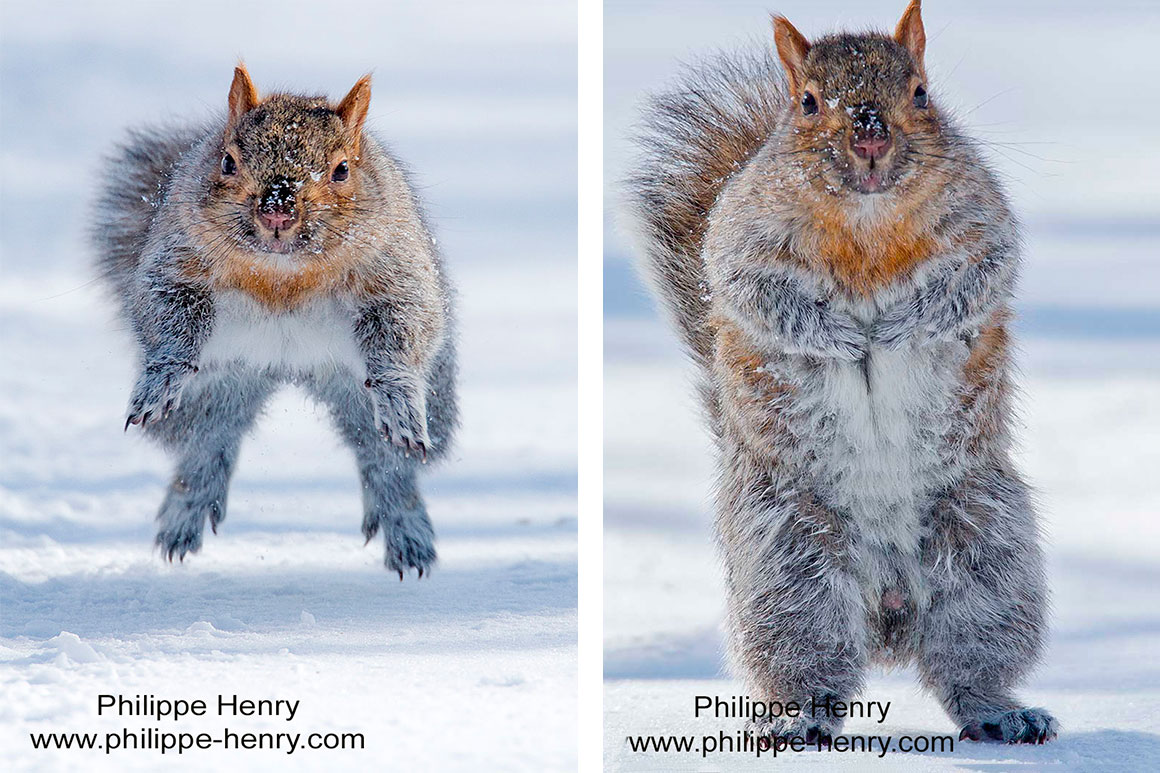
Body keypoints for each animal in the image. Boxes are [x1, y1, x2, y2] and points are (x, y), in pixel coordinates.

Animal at [91, 65, 458, 579]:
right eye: (227, 162)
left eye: (342, 169)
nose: (277, 211)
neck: (283, 277)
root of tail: (283, 368)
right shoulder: (177, 261)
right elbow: (167, 314)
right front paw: (162, 374)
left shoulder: (395, 269)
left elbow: (404, 324)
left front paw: (398, 392)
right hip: (219, 387)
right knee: (208, 443)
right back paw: (186, 512)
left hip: (363, 395)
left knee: (385, 460)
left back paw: (406, 527)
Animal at [629, 1, 1056, 745]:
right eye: (806, 103)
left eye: (920, 92)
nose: (869, 138)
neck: (868, 222)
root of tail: (889, 615)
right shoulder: (741, 238)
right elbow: (754, 291)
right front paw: (837, 332)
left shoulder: (983, 222)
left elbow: (977, 276)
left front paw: (905, 323)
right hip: (787, 562)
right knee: (810, 654)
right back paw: (802, 720)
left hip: (987, 549)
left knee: (969, 658)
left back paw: (1001, 713)